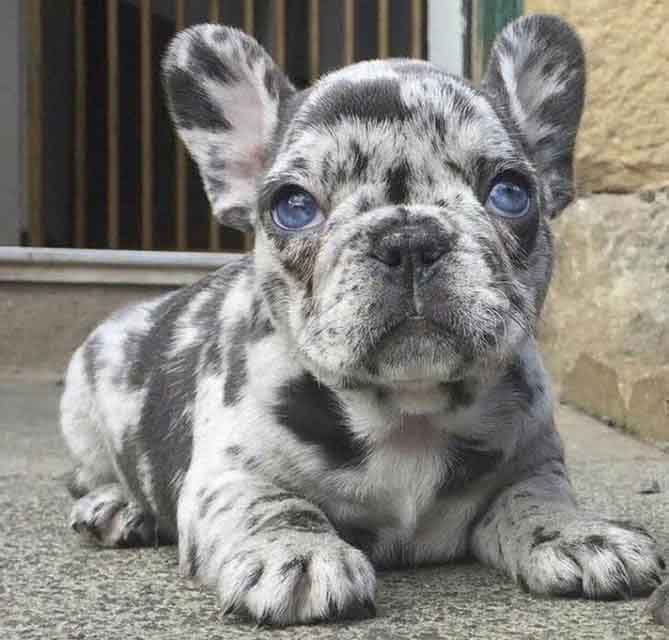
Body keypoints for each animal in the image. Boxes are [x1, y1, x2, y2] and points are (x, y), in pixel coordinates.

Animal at [58, 13, 664, 624]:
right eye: (293, 205)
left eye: (511, 193)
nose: (409, 239)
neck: (410, 414)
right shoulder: (227, 474)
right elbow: (271, 503)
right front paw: (296, 552)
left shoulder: (533, 461)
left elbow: (538, 498)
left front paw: (579, 534)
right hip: (83, 401)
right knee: (88, 475)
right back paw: (118, 506)